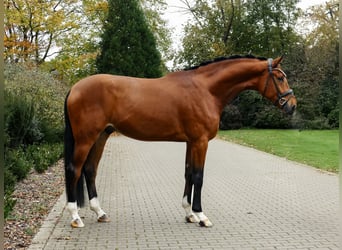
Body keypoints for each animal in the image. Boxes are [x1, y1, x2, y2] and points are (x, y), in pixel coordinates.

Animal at [64, 55, 296, 228]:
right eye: (280, 77)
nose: (292, 105)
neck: (206, 90)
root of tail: (75, 88)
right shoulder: (201, 142)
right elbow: (199, 176)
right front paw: (201, 216)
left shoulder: (191, 142)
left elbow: (188, 173)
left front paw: (189, 213)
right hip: (86, 138)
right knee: (74, 170)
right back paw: (75, 216)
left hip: (101, 136)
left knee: (90, 170)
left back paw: (100, 213)